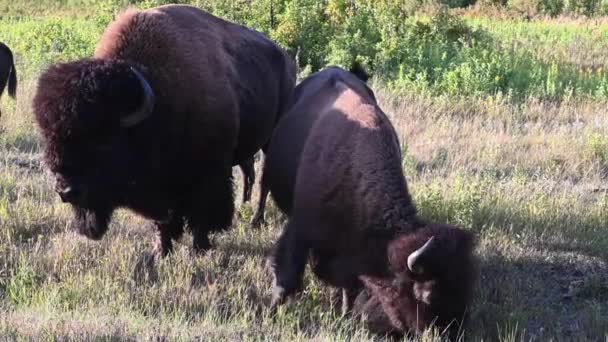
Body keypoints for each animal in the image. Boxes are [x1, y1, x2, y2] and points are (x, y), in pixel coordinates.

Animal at [33, 4, 296, 256]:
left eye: (103, 140)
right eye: (49, 139)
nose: (66, 191)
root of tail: (286, 57)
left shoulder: (208, 175)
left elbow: (202, 214)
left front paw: (200, 248)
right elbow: (163, 221)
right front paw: (162, 251)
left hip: (272, 139)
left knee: (263, 180)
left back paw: (255, 220)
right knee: (249, 171)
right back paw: (244, 207)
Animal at [258, 67, 478, 340]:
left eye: (468, 285)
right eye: (428, 294)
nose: (450, 334)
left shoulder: (351, 254)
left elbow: (348, 288)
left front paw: (344, 316)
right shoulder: (300, 232)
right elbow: (285, 278)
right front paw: (269, 313)